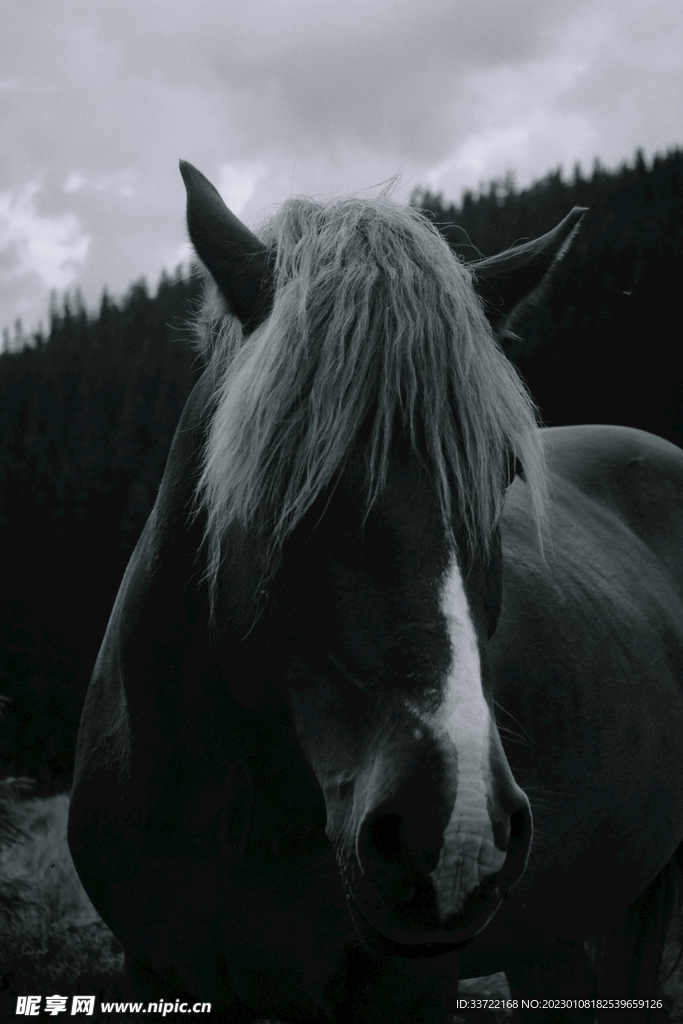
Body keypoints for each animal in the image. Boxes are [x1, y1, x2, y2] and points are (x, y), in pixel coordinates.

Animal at [68, 161, 683, 1024]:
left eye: (504, 470)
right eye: (280, 460)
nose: (454, 831)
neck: (226, 797)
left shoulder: (405, 984)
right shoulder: (157, 972)